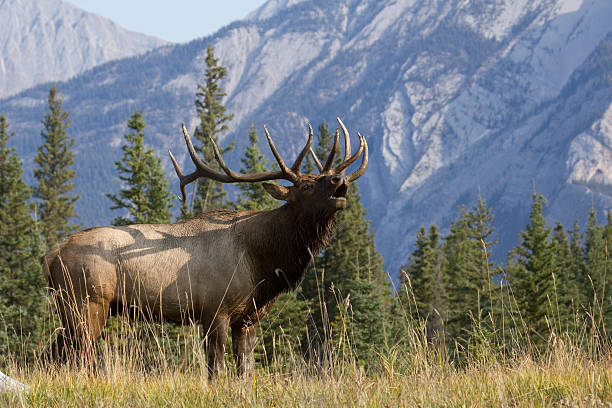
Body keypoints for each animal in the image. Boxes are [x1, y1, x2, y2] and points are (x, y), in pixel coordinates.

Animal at [43, 116, 370, 378]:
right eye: (307, 186)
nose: (339, 178)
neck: (263, 264)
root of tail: (52, 253)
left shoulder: (247, 319)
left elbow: (245, 371)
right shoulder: (215, 311)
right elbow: (216, 370)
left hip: (70, 308)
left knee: (54, 353)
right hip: (87, 302)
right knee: (77, 355)